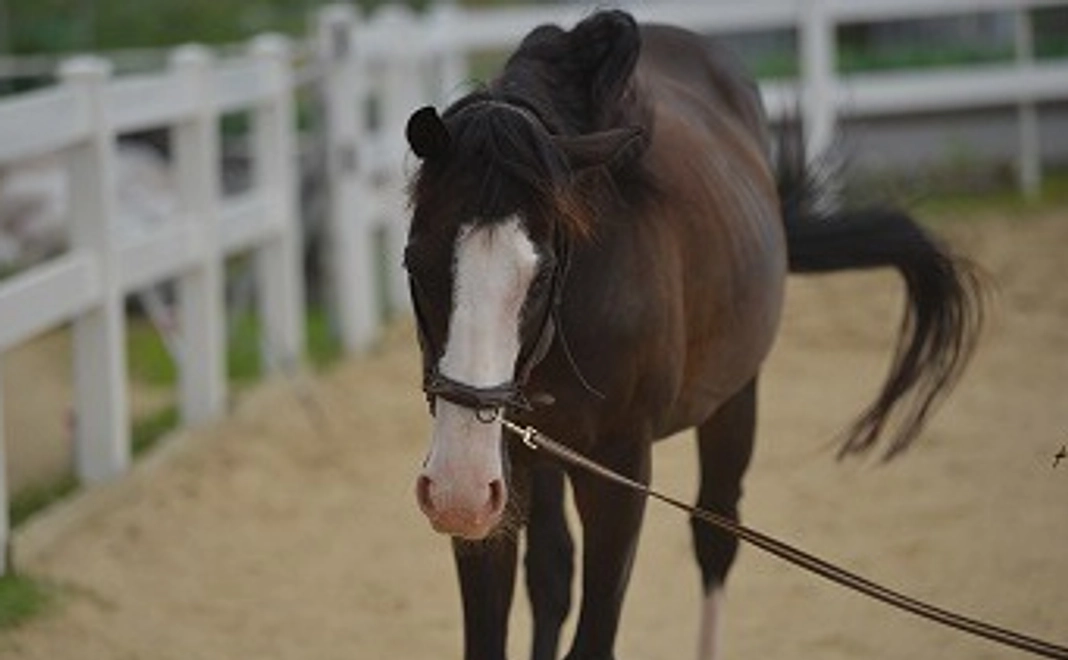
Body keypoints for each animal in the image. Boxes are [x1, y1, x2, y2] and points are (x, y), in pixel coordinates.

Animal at [402, 11, 982, 660]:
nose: (456, 489)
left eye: (545, 272)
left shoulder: (618, 471)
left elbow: (597, 635)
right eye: (414, 263)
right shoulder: (496, 472)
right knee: (552, 571)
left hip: (733, 401)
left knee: (714, 535)